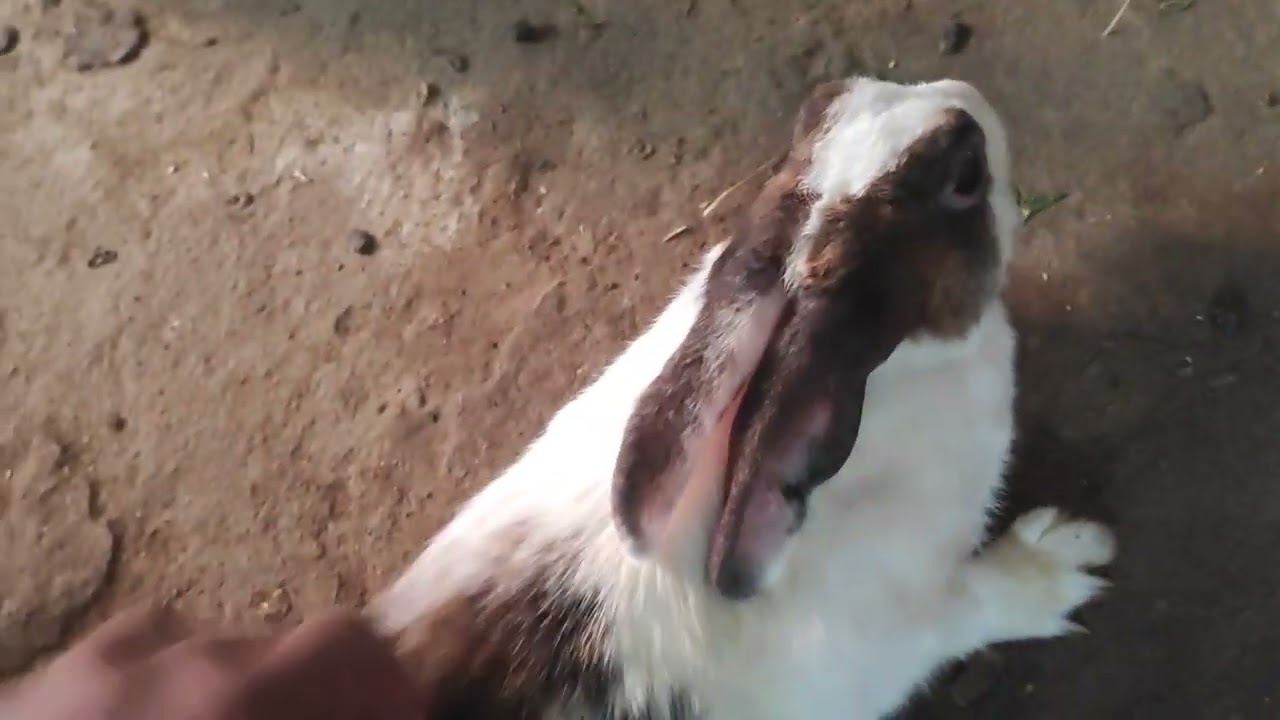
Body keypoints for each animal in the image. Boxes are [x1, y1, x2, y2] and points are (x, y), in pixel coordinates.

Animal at [367, 75, 1117, 720]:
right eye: (964, 179)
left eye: (820, 105)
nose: (964, 99)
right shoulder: (902, 631)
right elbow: (979, 605)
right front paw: (1065, 559)